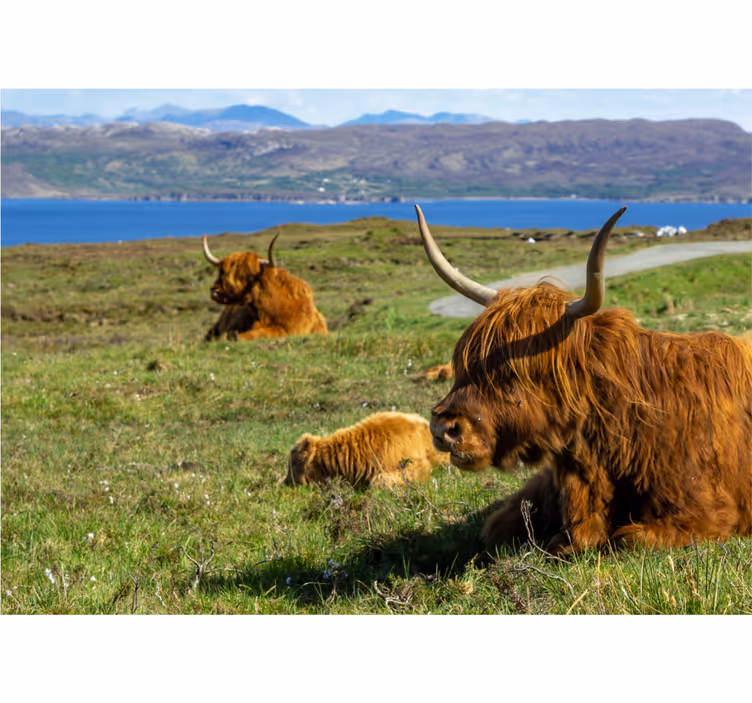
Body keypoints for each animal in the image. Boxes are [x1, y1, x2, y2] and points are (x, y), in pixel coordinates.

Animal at [415, 204, 752, 555]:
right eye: (464, 362)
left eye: (517, 370)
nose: (443, 427)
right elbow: (498, 527)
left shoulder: (707, 513)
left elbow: (628, 538)